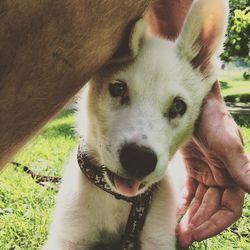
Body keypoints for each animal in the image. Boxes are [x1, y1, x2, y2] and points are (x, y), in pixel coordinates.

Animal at [43, 0, 229, 249]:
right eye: (118, 89)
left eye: (179, 106)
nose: (139, 160)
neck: (119, 200)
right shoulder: (67, 236)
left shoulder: (158, 238)